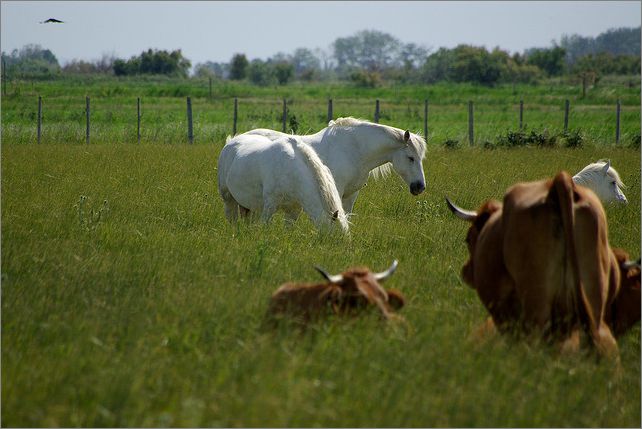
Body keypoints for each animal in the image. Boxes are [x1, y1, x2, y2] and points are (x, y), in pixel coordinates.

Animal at [216, 135, 350, 232]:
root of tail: (231, 142)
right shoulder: (269, 206)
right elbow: (264, 227)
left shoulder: (293, 211)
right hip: (228, 199)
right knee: (232, 218)